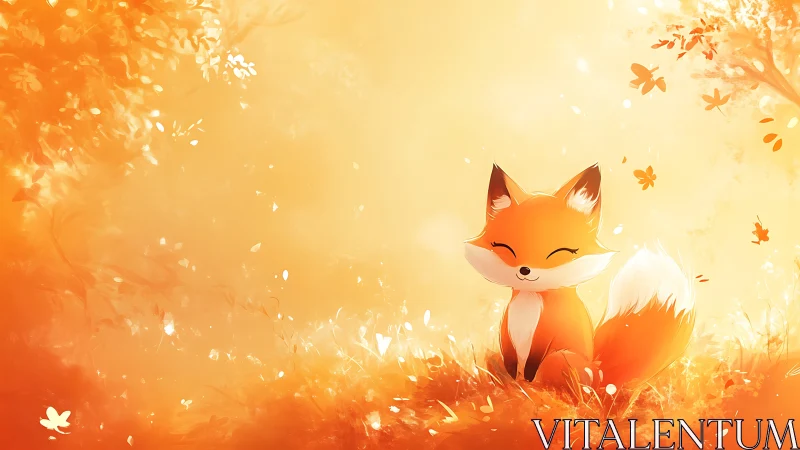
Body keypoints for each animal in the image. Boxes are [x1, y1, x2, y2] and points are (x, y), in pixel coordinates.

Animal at [465, 163, 695, 392]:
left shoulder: (550, 331)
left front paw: (527, 380)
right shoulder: (506, 335)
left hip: (558, 358)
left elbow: (534, 360)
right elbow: (511, 361)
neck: (529, 301)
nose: (524, 270)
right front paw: (515, 381)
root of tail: (598, 372)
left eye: (559, 252)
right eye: (504, 247)